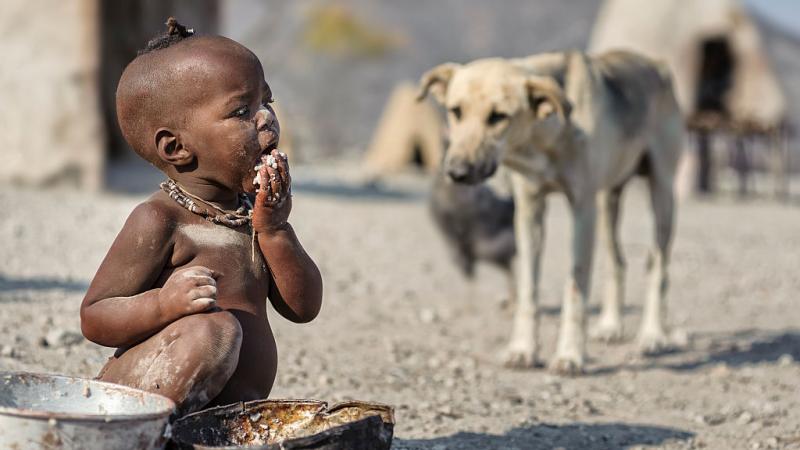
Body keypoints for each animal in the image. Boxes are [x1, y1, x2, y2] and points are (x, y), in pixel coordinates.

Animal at [416, 49, 684, 374]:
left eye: (498, 116)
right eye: (455, 111)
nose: (457, 173)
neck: (543, 137)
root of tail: (654, 63)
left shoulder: (582, 208)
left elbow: (575, 288)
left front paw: (570, 354)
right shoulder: (529, 209)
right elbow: (528, 290)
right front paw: (522, 350)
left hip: (662, 193)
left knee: (658, 266)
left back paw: (653, 335)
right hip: (608, 199)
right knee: (617, 262)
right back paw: (610, 325)